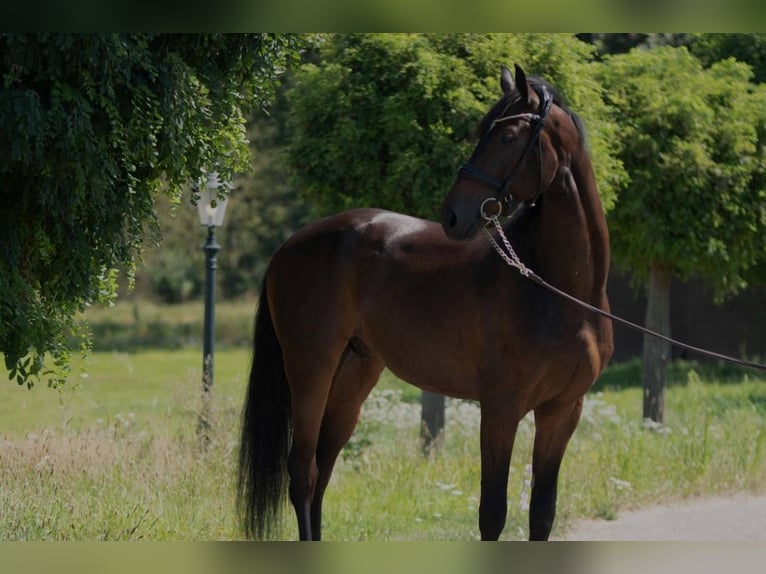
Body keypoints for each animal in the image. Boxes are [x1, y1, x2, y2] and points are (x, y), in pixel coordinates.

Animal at [237, 65, 616, 544]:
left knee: (322, 471)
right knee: (303, 473)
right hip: (311, 368)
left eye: (508, 135)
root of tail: (290, 246)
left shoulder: (562, 411)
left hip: (353, 374)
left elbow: (542, 513)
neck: (558, 290)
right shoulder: (501, 408)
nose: (453, 215)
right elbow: (492, 513)